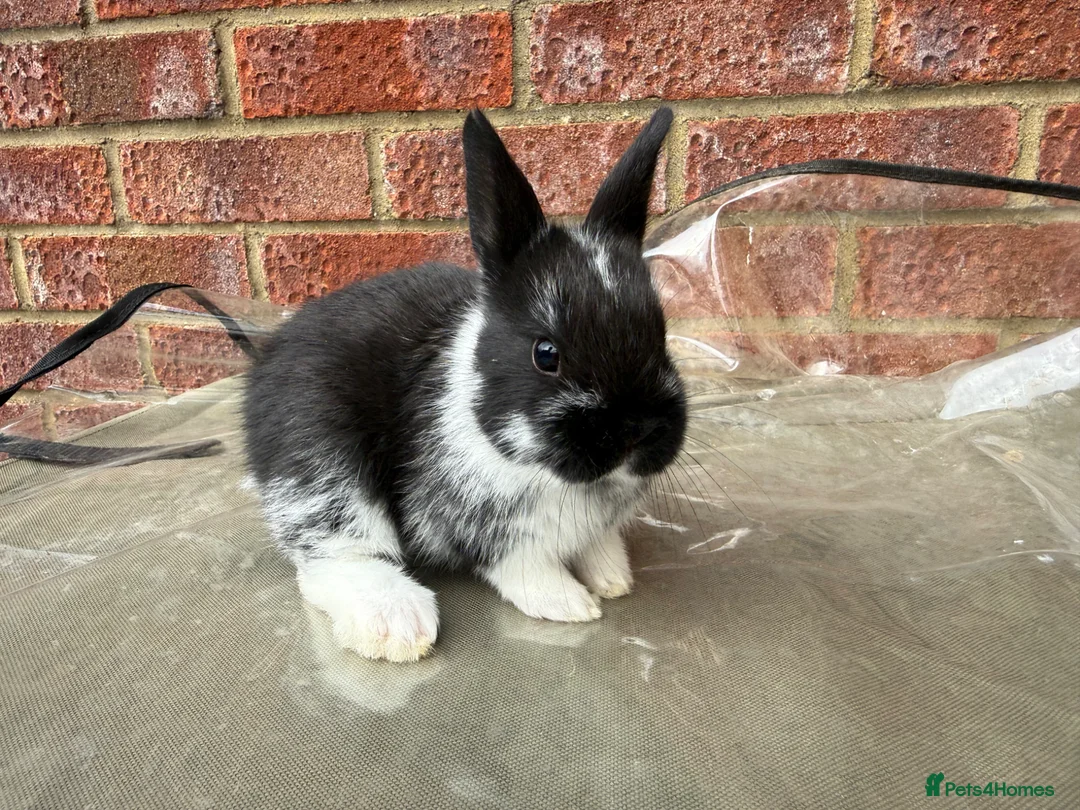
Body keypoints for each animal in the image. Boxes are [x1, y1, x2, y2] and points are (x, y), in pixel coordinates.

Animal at [243, 107, 687, 662]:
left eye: (661, 334)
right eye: (546, 353)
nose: (637, 431)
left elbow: (596, 546)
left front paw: (612, 578)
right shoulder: (487, 527)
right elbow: (522, 565)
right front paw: (569, 603)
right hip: (321, 464)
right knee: (330, 559)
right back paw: (397, 624)